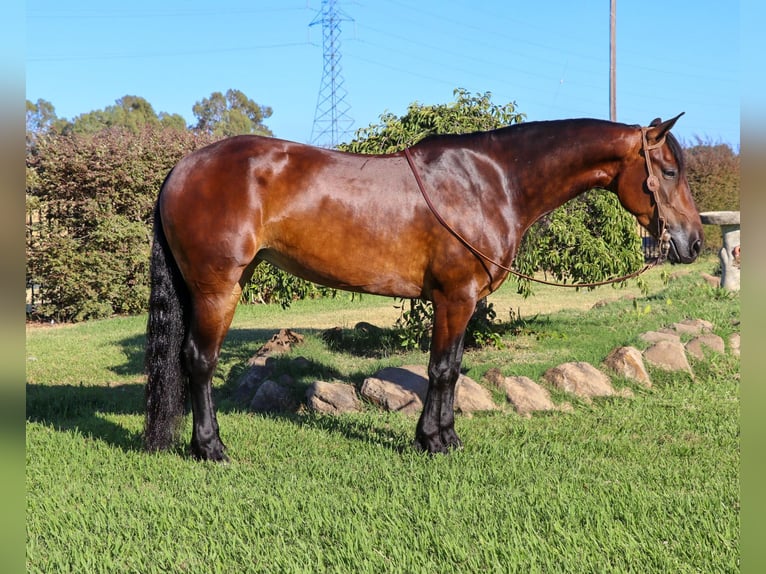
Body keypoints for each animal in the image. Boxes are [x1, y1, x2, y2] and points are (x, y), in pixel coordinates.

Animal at [144, 114, 703, 461]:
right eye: (669, 170)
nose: (693, 242)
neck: (492, 181)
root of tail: (181, 169)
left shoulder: (462, 300)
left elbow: (451, 369)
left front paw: (444, 437)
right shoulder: (455, 297)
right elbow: (441, 370)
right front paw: (433, 441)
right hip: (219, 289)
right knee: (199, 361)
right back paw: (211, 448)